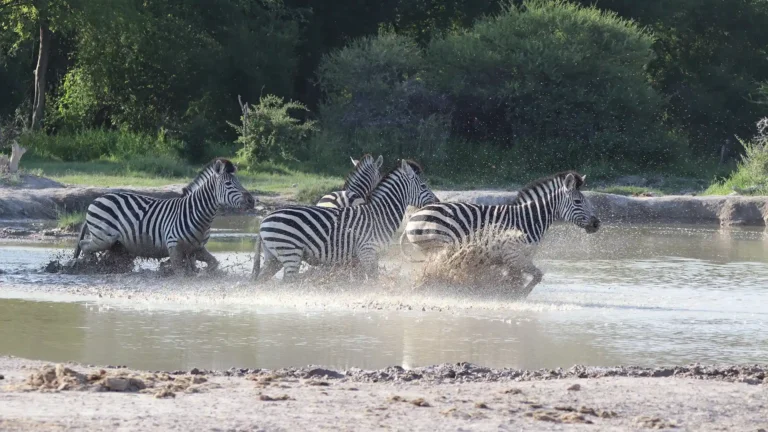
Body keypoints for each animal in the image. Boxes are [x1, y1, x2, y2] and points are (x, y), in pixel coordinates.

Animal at [73, 158, 256, 274]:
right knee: (84, 245)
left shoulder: (197, 249)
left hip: (116, 245)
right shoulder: (174, 247)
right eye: (228, 184)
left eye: (239, 182)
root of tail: (97, 199)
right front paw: (168, 268)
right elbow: (180, 274)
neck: (198, 214)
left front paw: (201, 273)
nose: (252, 200)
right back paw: (90, 266)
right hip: (103, 238)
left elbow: (213, 264)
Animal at [254, 159, 438, 280]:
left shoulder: (365, 256)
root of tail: (264, 220)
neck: (379, 215)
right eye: (423, 186)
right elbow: (373, 281)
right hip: (290, 252)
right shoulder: (367, 251)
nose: (437, 201)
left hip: (273, 257)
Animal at [400, 170, 604, 296]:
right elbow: (536, 276)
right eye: (578, 201)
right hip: (440, 246)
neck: (529, 219)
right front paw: (518, 295)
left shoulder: (514, 258)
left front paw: (504, 292)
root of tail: (414, 216)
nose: (597, 224)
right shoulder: (513, 254)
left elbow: (521, 277)